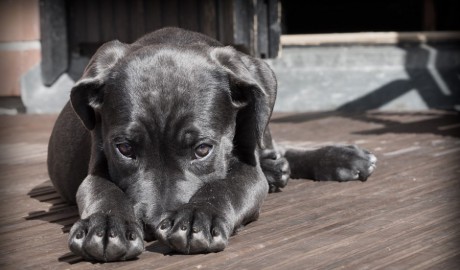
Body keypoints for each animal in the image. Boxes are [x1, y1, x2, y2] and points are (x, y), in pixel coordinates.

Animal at [47, 28, 378, 262]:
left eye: (202, 150)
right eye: (125, 149)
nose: (153, 225)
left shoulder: (247, 169)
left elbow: (226, 185)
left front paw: (198, 217)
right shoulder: (97, 164)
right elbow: (102, 190)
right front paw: (105, 225)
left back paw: (339, 158)